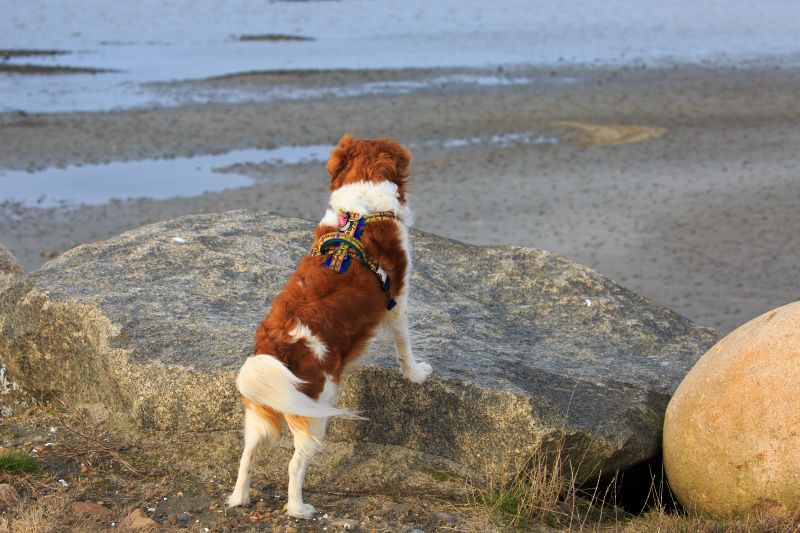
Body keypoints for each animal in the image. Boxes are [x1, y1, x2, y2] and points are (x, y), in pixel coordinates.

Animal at [227, 134, 432, 520]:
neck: (361, 211)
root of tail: (277, 343)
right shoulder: (397, 300)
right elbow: (404, 344)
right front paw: (415, 373)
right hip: (315, 410)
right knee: (295, 465)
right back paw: (299, 508)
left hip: (261, 410)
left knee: (247, 455)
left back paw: (239, 497)